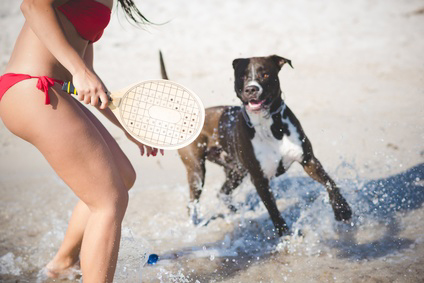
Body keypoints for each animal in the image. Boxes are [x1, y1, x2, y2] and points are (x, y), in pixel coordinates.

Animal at [164, 53, 352, 237]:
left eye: (265, 74)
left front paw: (342, 210)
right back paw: (195, 225)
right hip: (197, 171)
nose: (251, 89)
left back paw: (236, 212)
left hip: (236, 171)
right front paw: (284, 234)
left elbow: (329, 182)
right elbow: (273, 209)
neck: (268, 124)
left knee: (222, 193)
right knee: (193, 202)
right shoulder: (259, 178)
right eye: (242, 76)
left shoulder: (308, 160)